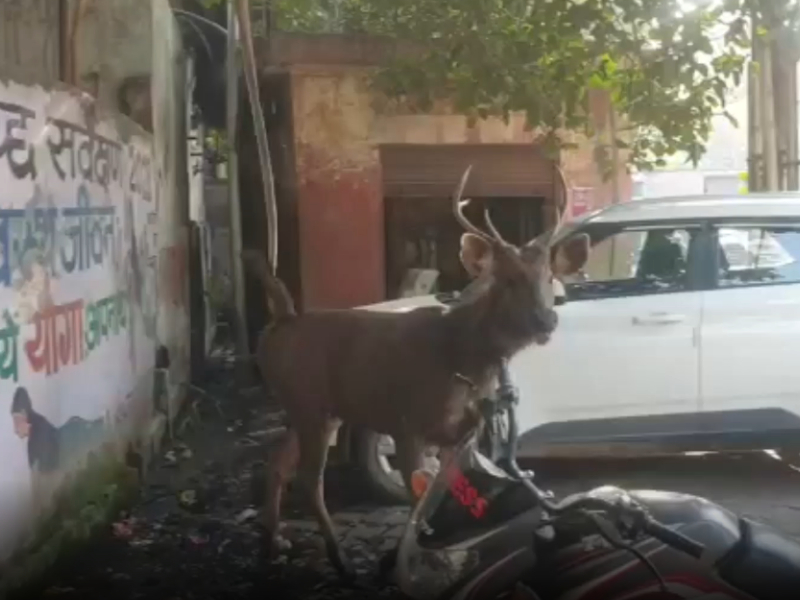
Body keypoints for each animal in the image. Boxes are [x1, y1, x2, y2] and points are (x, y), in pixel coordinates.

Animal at [242, 164, 588, 576]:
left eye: (548, 275)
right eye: (506, 279)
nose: (545, 320)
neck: (460, 355)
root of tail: (279, 323)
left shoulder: (462, 432)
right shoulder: (407, 424)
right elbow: (414, 502)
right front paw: (405, 561)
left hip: (310, 409)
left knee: (278, 461)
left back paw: (270, 543)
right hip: (309, 403)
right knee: (310, 479)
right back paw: (339, 560)